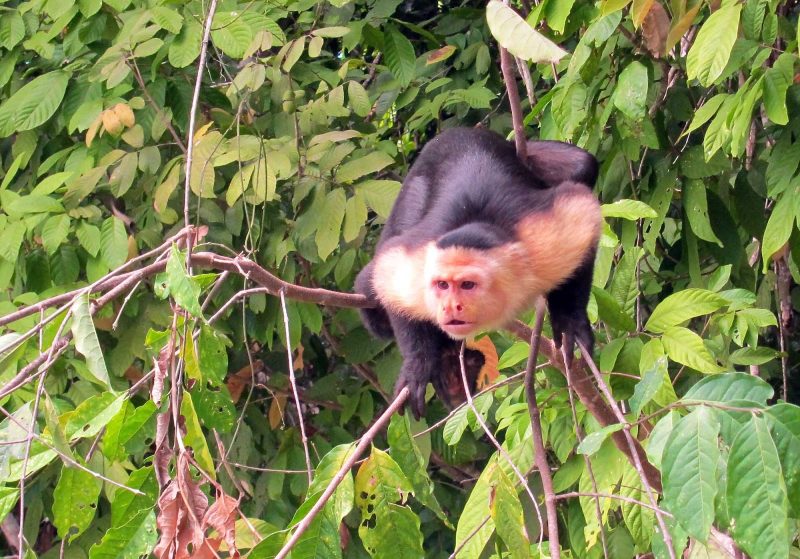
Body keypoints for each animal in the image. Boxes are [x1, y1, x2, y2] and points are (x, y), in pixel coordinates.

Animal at [355, 127, 601, 419]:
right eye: (442, 285)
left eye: (468, 285)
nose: (450, 306)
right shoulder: (421, 257)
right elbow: (389, 271)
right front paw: (418, 362)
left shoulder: (539, 239)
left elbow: (582, 214)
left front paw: (570, 320)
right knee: (371, 297)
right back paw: (448, 360)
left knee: (583, 164)